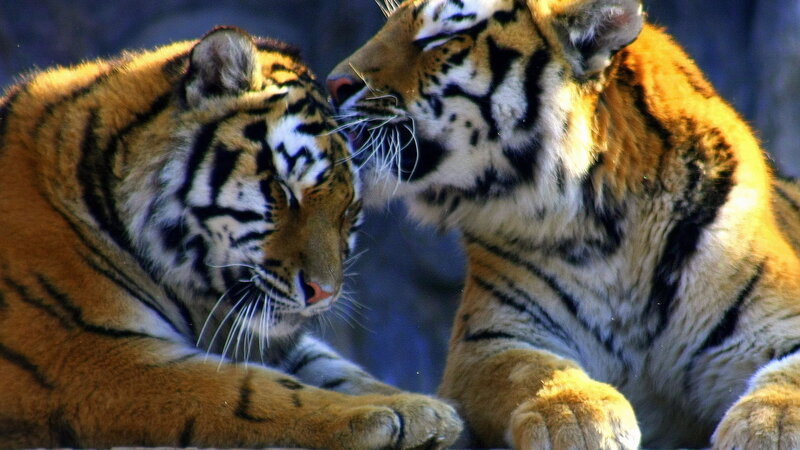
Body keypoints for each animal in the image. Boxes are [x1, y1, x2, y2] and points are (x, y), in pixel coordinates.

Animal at [0, 26, 462, 448]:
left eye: (348, 210)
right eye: (284, 190)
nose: (324, 295)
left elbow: (335, 368)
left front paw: (424, 408)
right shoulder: (93, 354)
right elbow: (250, 392)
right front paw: (385, 417)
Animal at [327, 0, 800, 448]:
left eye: (440, 37)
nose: (333, 86)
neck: (606, 222)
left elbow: (788, 377)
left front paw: (769, 427)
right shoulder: (489, 339)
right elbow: (530, 370)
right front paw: (576, 417)